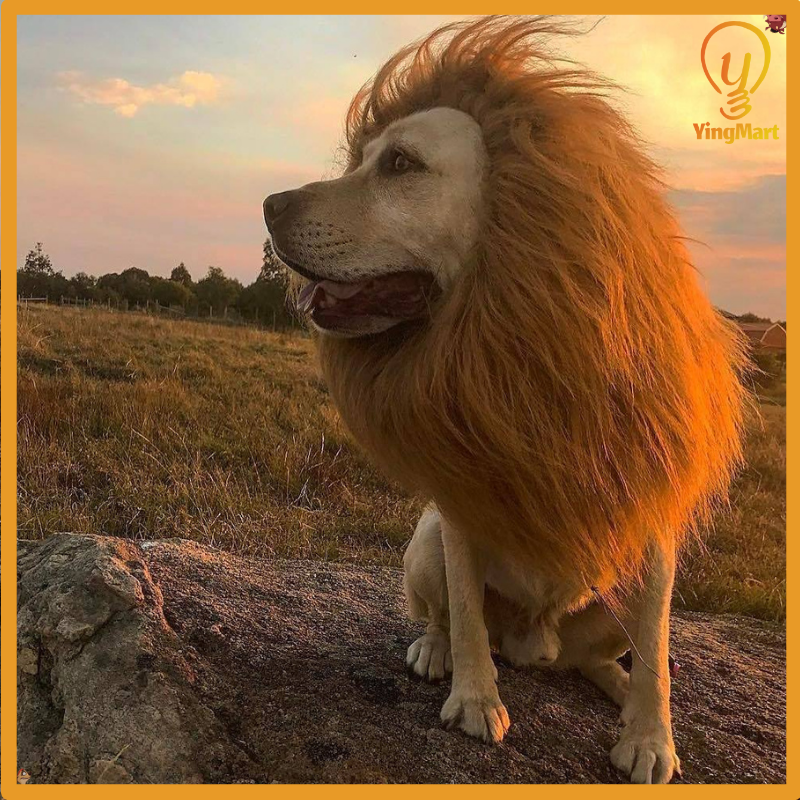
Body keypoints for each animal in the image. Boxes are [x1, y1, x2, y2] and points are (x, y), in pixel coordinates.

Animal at [262, 16, 747, 783]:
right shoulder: (462, 489)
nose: (269, 205)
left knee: (597, 658)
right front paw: (474, 699)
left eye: (400, 164)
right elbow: (464, 609)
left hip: (613, 593)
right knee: (449, 616)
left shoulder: (654, 512)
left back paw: (610, 687)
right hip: (425, 543)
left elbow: (659, 654)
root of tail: (532, 642)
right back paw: (439, 651)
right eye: (362, 158)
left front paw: (651, 738)